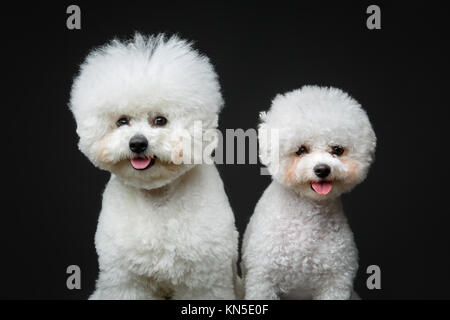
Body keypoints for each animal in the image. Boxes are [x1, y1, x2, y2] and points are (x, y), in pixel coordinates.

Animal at [68, 34, 239, 300]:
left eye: (160, 120)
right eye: (122, 121)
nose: (137, 143)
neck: (157, 197)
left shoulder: (203, 280)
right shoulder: (126, 280)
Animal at [243, 85, 376, 300]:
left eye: (337, 150)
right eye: (301, 150)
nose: (322, 169)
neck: (308, 217)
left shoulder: (336, 282)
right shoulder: (263, 279)